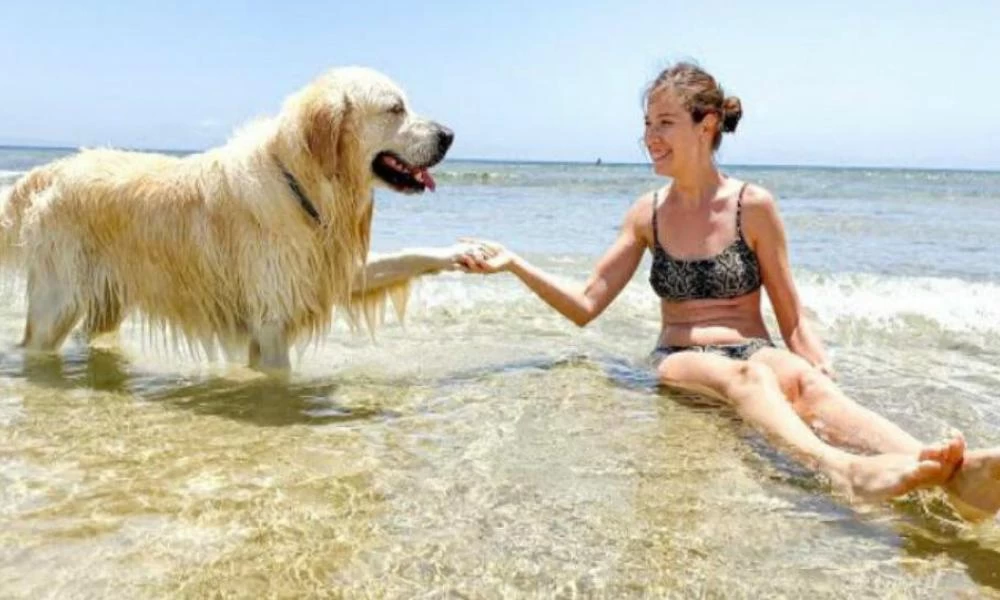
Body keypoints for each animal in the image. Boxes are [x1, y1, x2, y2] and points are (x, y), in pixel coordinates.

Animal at [0, 65, 476, 370]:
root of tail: (51, 169)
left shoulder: (327, 269)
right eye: (396, 108)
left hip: (106, 299)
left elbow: (406, 257)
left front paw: (464, 253)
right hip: (58, 302)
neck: (302, 188)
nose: (450, 135)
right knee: (35, 343)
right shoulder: (272, 323)